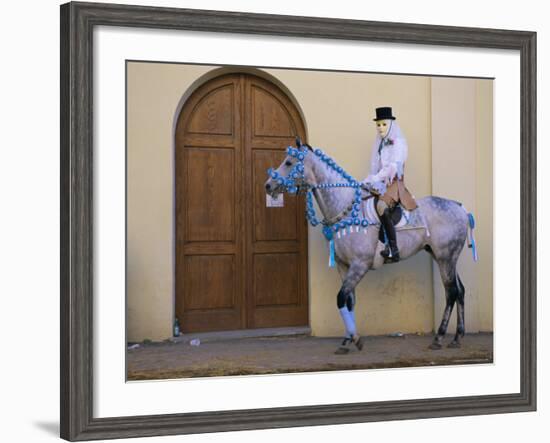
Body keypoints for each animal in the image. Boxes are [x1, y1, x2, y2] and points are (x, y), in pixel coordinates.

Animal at [266, 139, 478, 354]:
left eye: (289, 162)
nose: (268, 185)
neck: (346, 208)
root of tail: (460, 208)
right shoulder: (344, 266)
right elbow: (349, 300)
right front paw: (347, 340)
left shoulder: (360, 265)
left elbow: (340, 298)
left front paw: (356, 339)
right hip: (445, 257)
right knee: (460, 291)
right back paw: (457, 337)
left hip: (445, 257)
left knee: (451, 292)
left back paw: (439, 337)